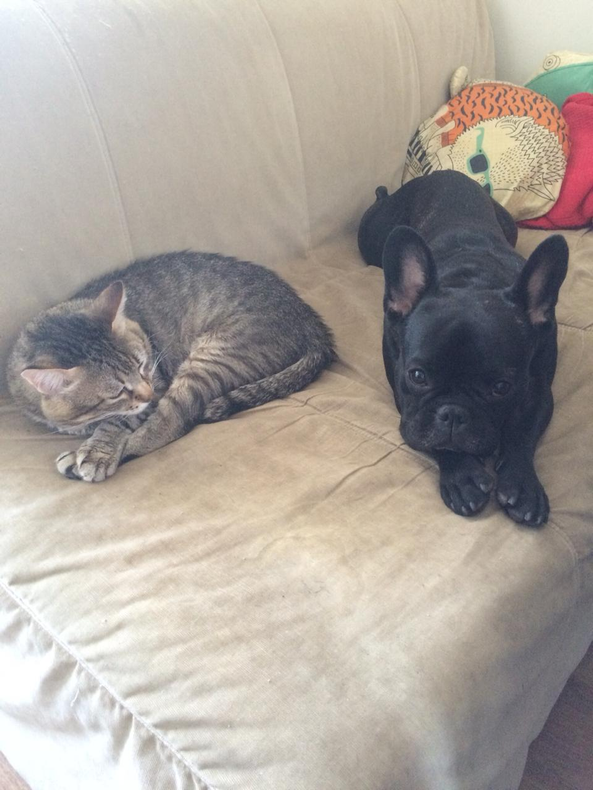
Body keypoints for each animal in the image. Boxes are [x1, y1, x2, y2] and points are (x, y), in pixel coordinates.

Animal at [8, 251, 335, 482]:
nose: (149, 394)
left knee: (171, 423)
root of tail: (311, 322)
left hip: (210, 359)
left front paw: (97, 451)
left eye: (142, 365)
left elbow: (117, 422)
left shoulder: (159, 381)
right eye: (116, 392)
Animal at [358, 171, 568, 526]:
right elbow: (431, 435)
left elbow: (522, 431)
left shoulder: (539, 390)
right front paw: (463, 477)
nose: (453, 414)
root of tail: (446, 173)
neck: (473, 281)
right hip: (371, 236)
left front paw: (522, 484)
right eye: (417, 376)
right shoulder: (405, 398)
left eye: (501, 387)